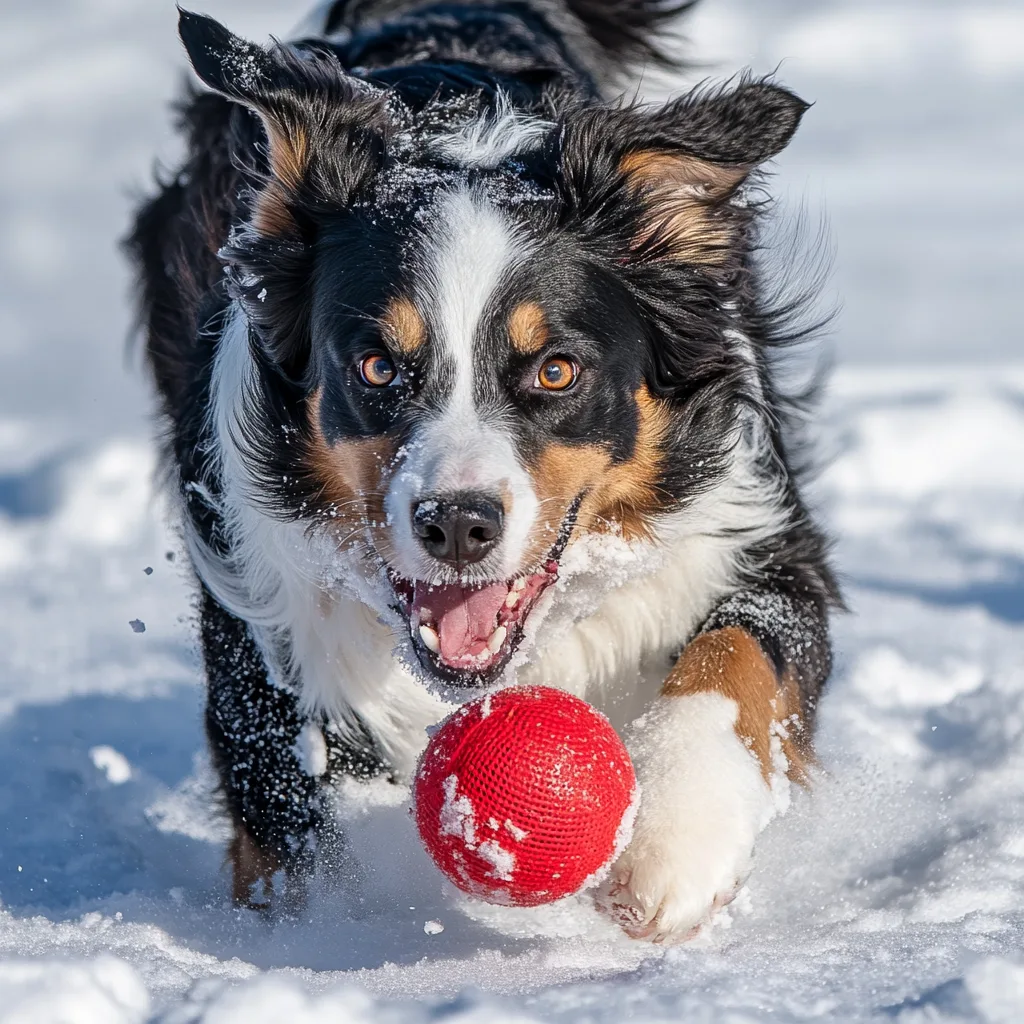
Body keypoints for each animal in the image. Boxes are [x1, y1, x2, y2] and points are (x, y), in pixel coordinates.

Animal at [125, 0, 839, 942]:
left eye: (557, 371)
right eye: (377, 367)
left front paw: (675, 847)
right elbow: (286, 807)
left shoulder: (756, 531)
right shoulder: (255, 615)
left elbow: (738, 651)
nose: (457, 525)